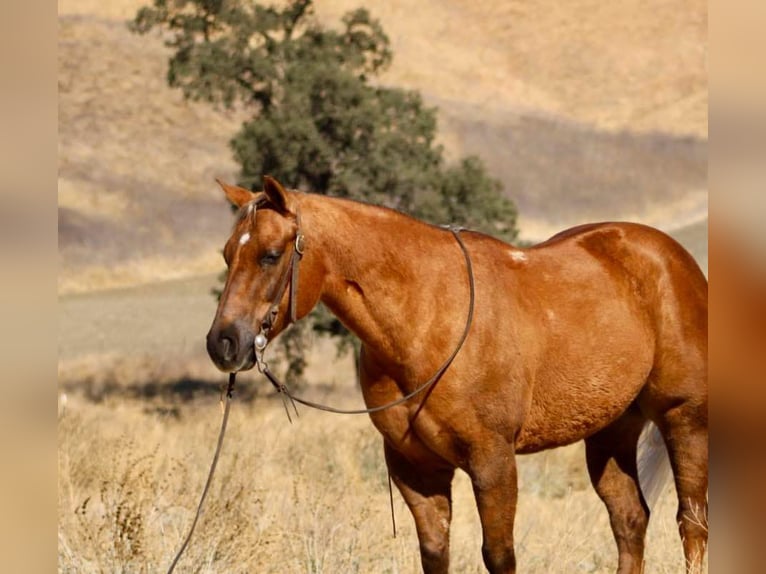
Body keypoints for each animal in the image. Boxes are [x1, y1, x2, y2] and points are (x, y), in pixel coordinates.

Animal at [206, 176, 708, 574]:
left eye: (271, 256)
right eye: (227, 254)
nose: (223, 343)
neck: (426, 318)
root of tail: (675, 259)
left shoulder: (493, 462)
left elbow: (499, 556)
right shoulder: (415, 468)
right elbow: (435, 552)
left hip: (683, 418)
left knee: (692, 523)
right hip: (611, 429)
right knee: (630, 520)